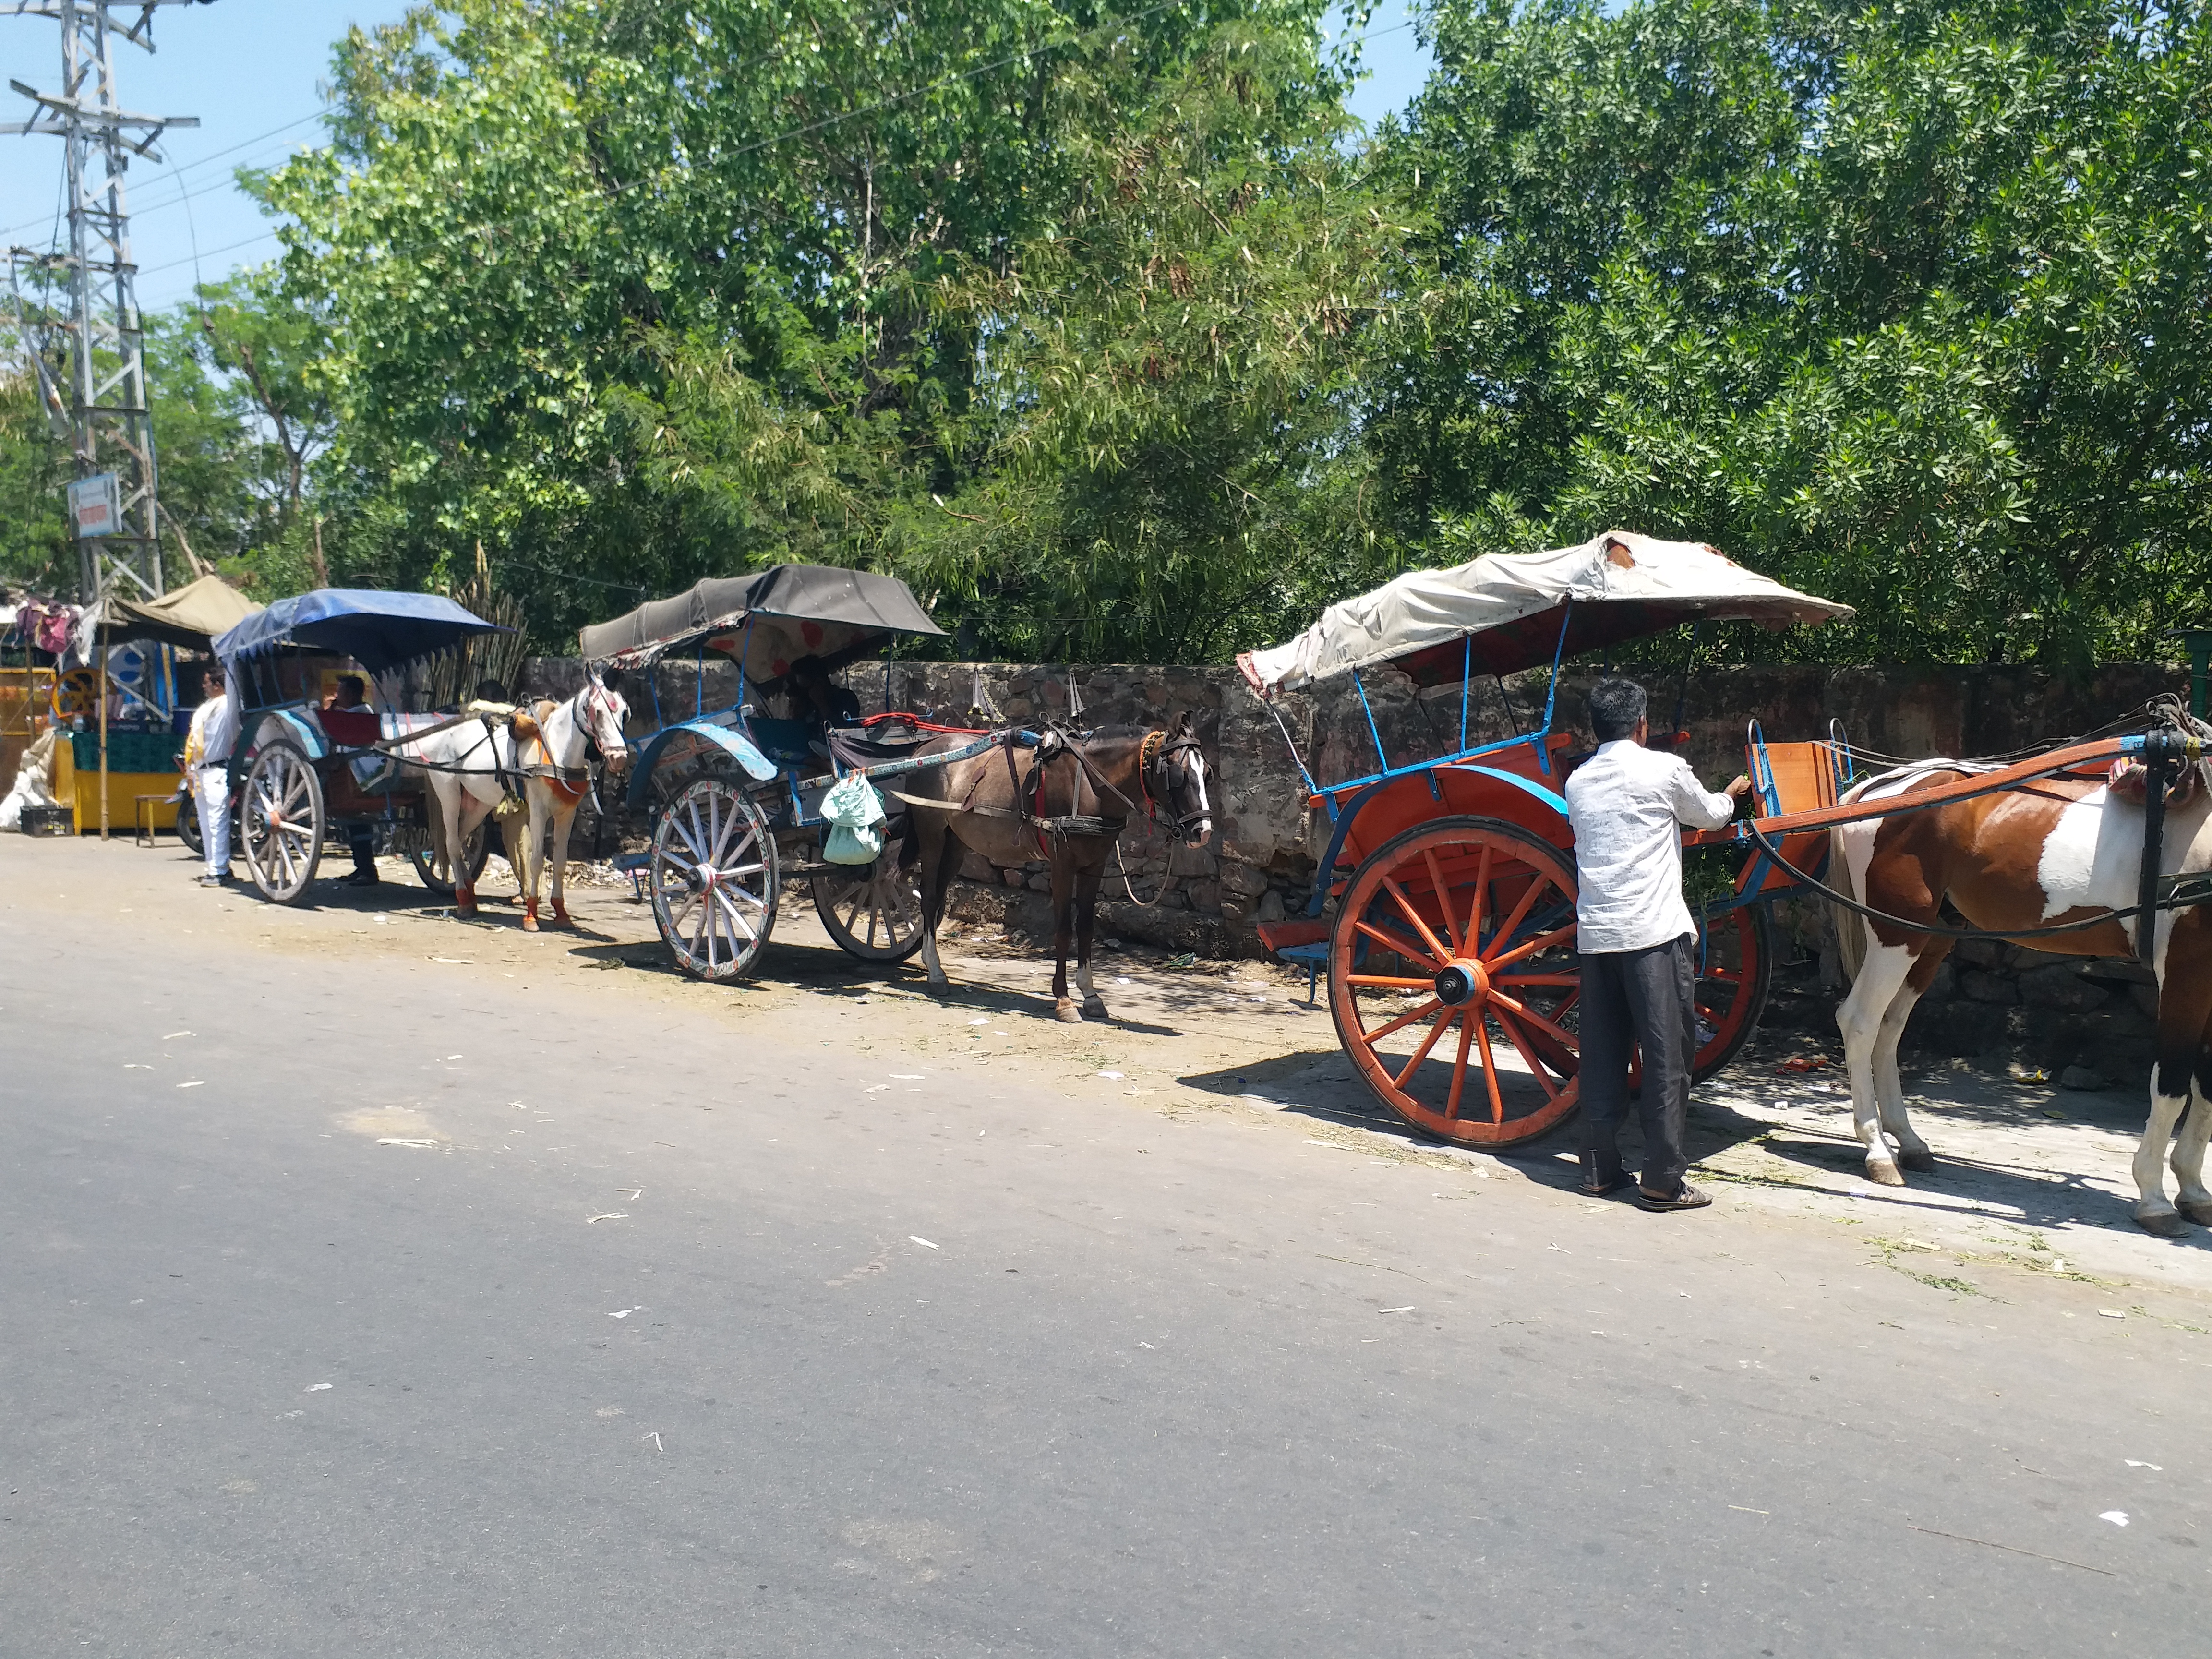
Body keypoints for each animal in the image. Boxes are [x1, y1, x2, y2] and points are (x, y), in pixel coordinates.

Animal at [898, 716, 1212, 1026]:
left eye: (1207, 773)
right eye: (1179, 774)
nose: (1204, 832)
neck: (1090, 784)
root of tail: (923, 750)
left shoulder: (1093, 867)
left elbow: (1085, 928)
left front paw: (1090, 994)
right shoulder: (1063, 864)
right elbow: (1063, 930)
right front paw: (1063, 999)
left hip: (956, 843)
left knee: (939, 895)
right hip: (932, 835)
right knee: (928, 896)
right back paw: (935, 971)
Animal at [1822, 739, 2212, 1238]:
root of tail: (1881, 788)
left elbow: (2206, 1087)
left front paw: (2194, 1192)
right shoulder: (2185, 969)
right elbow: (2172, 1086)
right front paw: (2155, 1198)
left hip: (1932, 936)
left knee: (1889, 1028)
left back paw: (1907, 1141)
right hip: (1897, 932)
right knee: (1860, 1022)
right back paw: (1877, 1150)